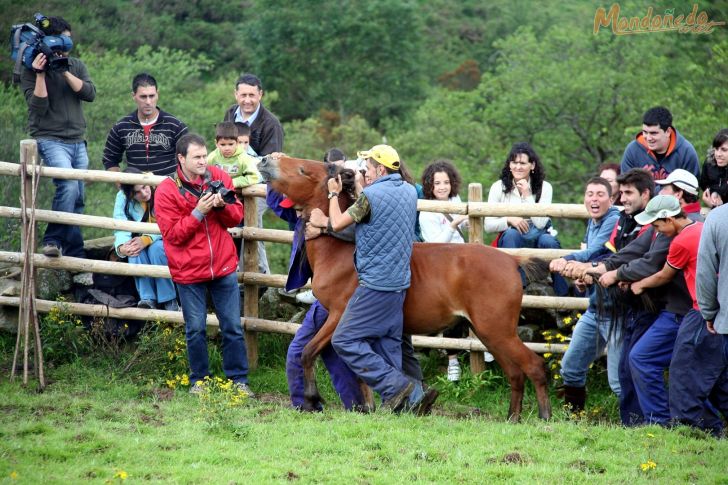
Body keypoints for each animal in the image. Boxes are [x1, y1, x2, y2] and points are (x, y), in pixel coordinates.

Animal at [258, 156, 552, 420]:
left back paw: (544, 415)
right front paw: (368, 406)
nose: (266, 159)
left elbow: (309, 353)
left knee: (534, 366)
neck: (341, 252)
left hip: (498, 331)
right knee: (515, 373)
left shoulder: (340, 317)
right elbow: (360, 371)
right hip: (489, 333)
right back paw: (511, 416)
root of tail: (512, 261)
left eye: (303, 169)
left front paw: (311, 400)